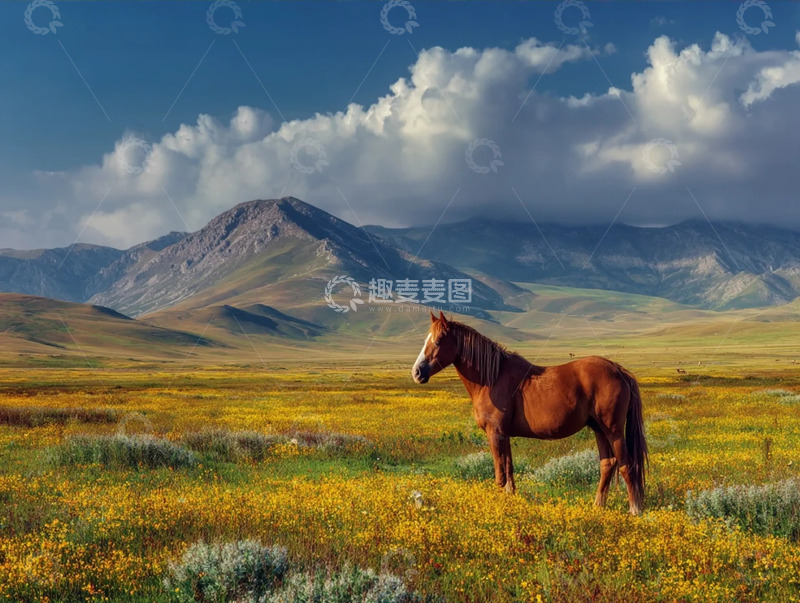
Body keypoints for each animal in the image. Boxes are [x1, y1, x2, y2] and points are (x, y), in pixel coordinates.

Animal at [411, 312, 648, 515]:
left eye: (438, 341)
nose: (417, 372)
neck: (492, 378)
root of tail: (618, 370)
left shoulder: (494, 434)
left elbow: (500, 476)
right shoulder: (504, 435)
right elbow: (509, 473)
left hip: (613, 430)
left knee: (626, 465)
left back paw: (634, 510)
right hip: (598, 429)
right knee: (607, 464)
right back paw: (597, 506)